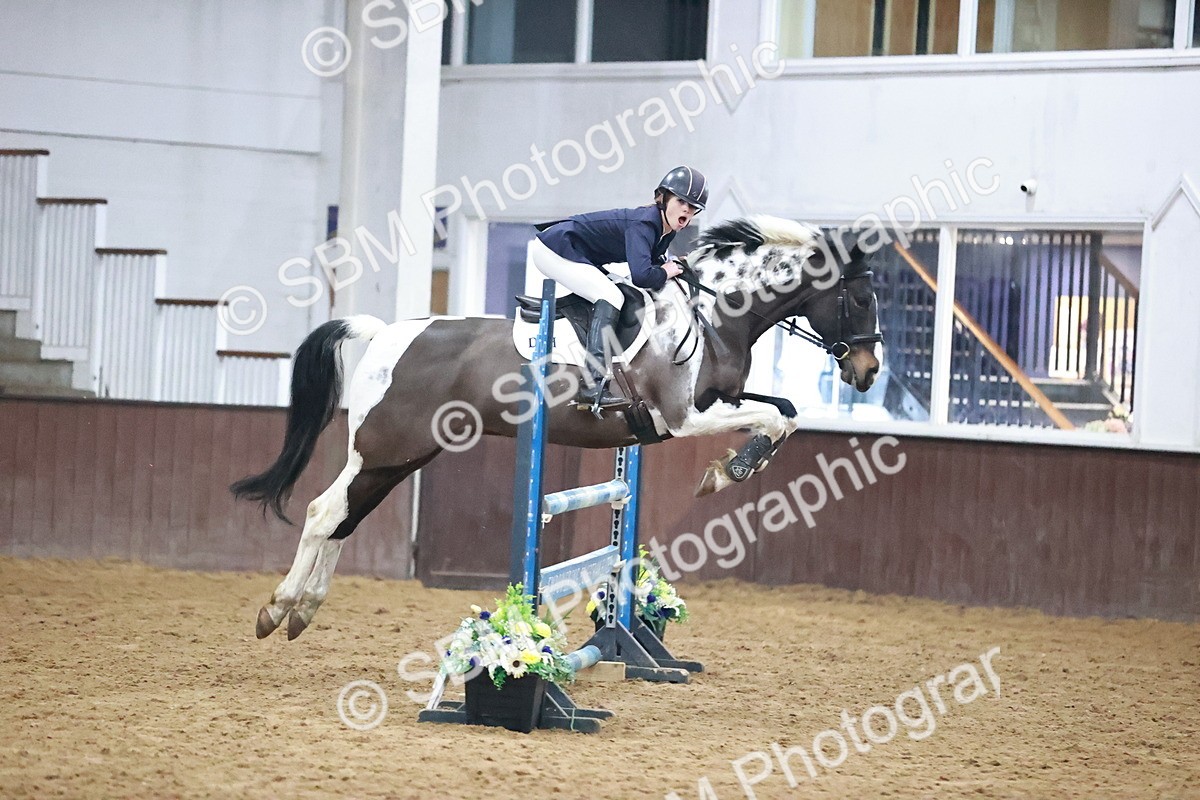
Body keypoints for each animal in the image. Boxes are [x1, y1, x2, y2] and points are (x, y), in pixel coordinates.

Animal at [233, 215, 882, 640]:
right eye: (859, 300)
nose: (868, 371)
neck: (715, 312)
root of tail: (385, 332)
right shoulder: (684, 417)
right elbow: (772, 415)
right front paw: (727, 473)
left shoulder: (720, 400)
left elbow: (786, 411)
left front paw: (736, 466)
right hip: (381, 450)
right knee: (323, 512)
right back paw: (276, 609)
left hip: (401, 457)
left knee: (343, 519)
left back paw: (302, 612)